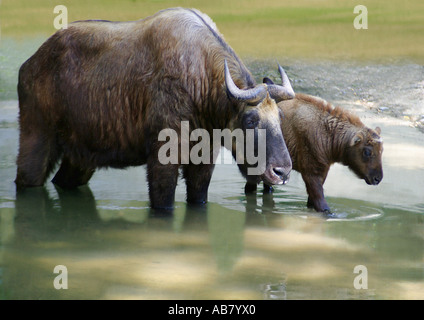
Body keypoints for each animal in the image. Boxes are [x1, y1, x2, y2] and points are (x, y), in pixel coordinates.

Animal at [243, 92, 382, 212]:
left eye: (382, 150)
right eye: (367, 151)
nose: (378, 178)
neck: (329, 137)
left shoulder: (322, 172)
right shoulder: (311, 172)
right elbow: (322, 206)